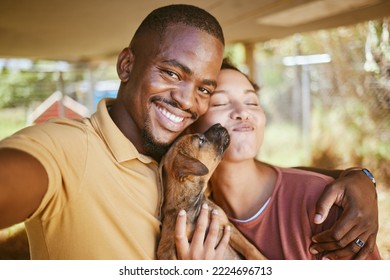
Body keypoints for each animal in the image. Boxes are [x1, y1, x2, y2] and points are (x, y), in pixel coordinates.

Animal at [157, 123, 266, 260]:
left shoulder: (227, 225)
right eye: (201, 140)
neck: (194, 206)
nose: (218, 124)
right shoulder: (167, 248)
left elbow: (251, 249)